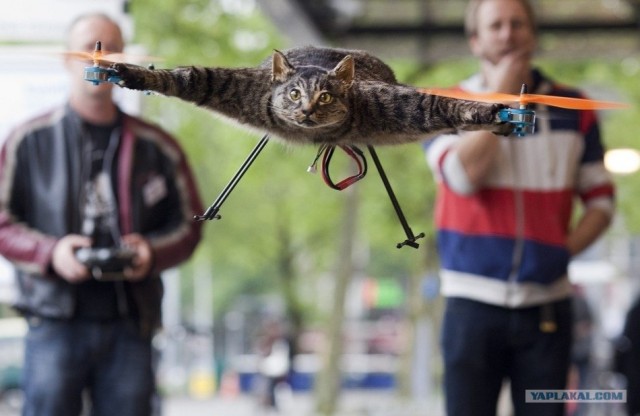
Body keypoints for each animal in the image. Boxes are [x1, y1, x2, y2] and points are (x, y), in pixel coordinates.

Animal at [110, 45, 510, 145]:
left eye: (327, 98)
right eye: (293, 94)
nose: (305, 110)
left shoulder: (395, 105)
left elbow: (438, 104)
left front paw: (494, 114)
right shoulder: (242, 87)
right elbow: (190, 76)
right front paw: (133, 73)